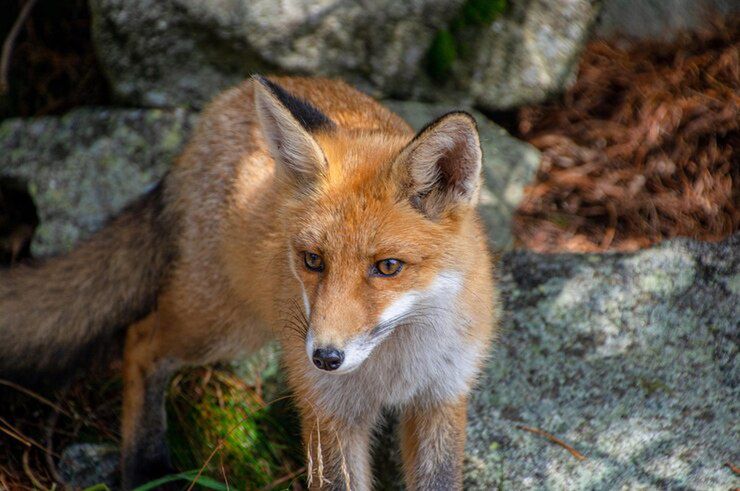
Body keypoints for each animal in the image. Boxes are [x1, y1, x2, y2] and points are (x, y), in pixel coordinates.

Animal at [0, 75, 500, 490]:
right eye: (312, 260)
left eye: (388, 267)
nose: (325, 358)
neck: (393, 368)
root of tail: (217, 109)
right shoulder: (329, 411)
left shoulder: (441, 398)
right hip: (222, 327)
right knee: (139, 341)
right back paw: (146, 466)